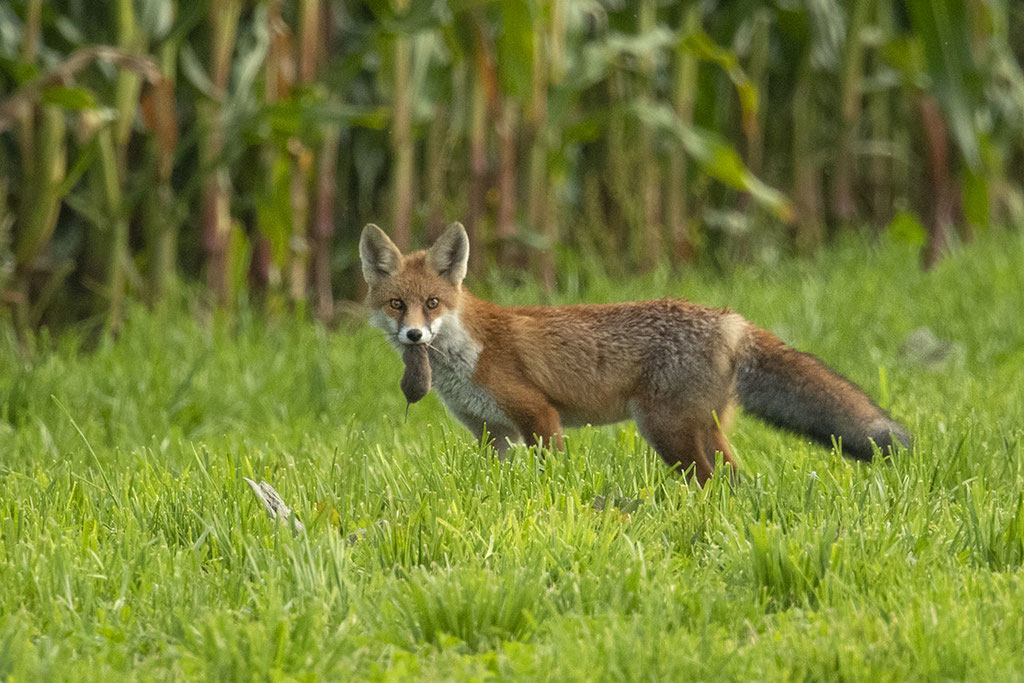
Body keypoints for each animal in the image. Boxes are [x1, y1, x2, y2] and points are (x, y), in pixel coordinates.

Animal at [360, 221, 911, 483]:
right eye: (397, 304)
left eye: (433, 303)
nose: (414, 336)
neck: (466, 354)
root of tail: (730, 318)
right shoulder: (490, 432)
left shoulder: (539, 415)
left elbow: (552, 472)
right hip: (701, 429)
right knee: (735, 481)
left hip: (667, 430)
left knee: (712, 481)